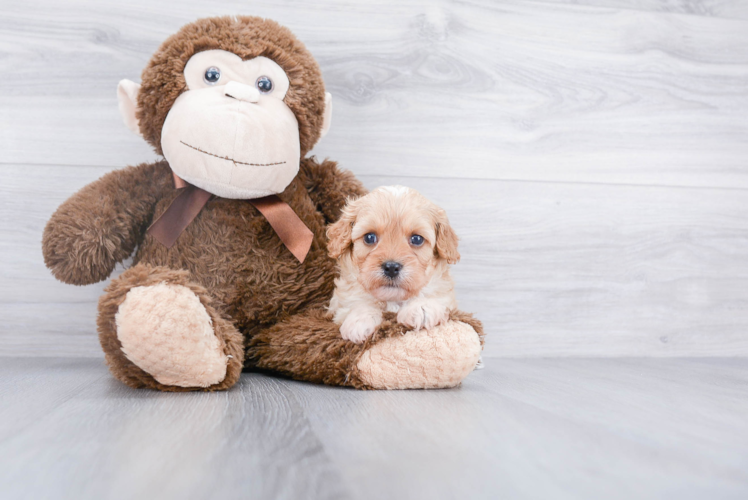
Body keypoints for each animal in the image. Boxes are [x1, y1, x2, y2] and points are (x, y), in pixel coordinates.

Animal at [328, 187, 462, 344]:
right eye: (369, 237)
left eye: (417, 239)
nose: (391, 268)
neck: (393, 300)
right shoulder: (337, 307)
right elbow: (356, 303)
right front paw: (359, 320)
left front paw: (421, 307)